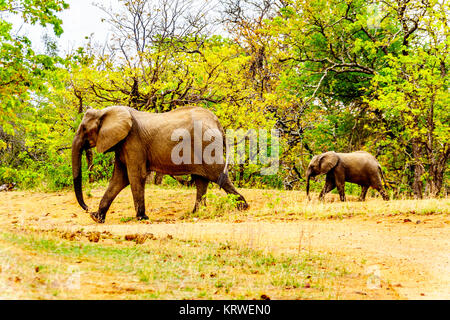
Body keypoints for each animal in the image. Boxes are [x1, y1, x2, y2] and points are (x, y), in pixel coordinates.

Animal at [72, 105, 248, 222]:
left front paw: (142, 218)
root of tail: (217, 122)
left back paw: (243, 207)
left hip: (206, 144)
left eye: (84, 129)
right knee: (201, 180)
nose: (87, 208)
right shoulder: (122, 144)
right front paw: (97, 218)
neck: (106, 112)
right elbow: (119, 180)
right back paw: (196, 213)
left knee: (216, 174)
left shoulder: (133, 141)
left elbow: (135, 176)